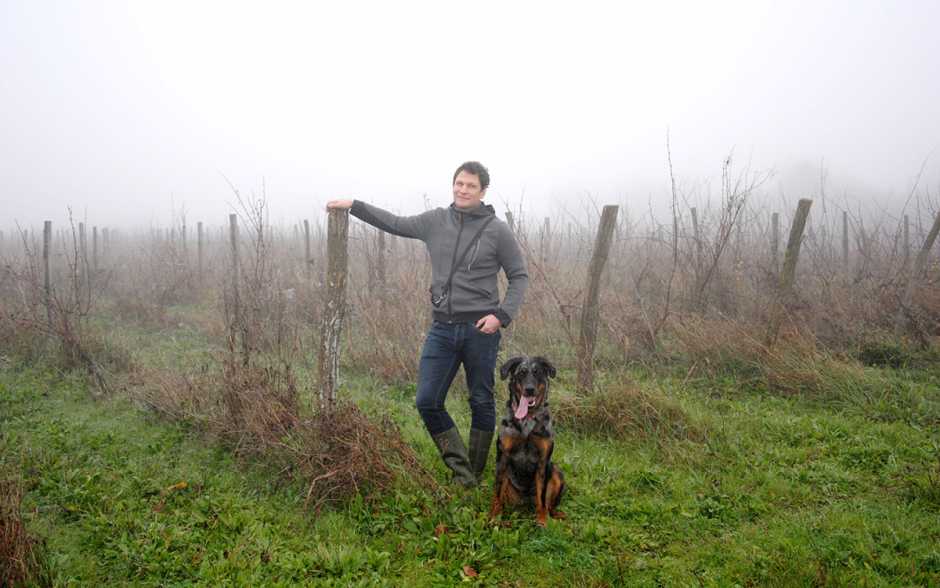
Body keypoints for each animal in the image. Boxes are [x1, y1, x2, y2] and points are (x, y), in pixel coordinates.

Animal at [492, 356, 564, 524]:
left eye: (537, 372)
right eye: (521, 373)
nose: (529, 389)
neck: (527, 420)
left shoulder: (543, 462)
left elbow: (542, 496)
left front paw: (542, 520)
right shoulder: (502, 459)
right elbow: (497, 493)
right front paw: (494, 517)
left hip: (557, 472)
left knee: (549, 504)